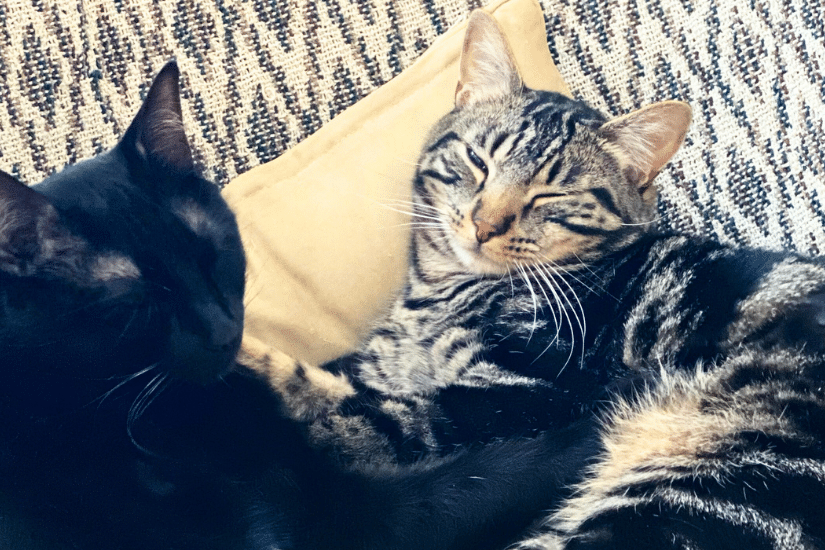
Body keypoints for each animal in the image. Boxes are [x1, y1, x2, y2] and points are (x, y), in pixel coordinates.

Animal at [0, 60, 600, 550]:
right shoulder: (342, 518)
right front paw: (611, 404)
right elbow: (497, 471)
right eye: (138, 299)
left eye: (212, 252)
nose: (224, 332)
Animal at [262, 9, 824, 550]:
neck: (436, 296)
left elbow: (371, 423)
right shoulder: (380, 366)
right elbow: (342, 388)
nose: (485, 224)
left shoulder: (527, 393)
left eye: (550, 196)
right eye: (477, 160)